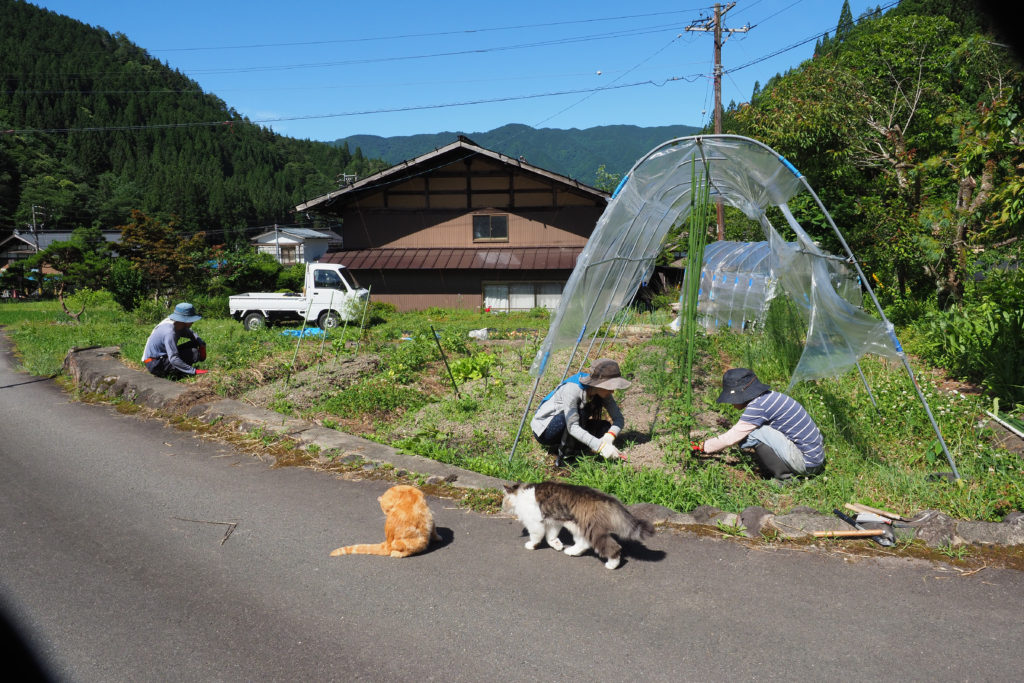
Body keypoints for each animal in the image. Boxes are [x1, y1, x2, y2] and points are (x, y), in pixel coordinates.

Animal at [503, 481, 655, 573]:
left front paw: (531, 545)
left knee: (613, 548)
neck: (521, 494)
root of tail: (606, 498)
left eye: (504, 501)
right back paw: (571, 551)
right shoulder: (553, 522)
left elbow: (536, 537)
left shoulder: (535, 523)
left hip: (593, 530)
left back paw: (612, 564)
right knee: (583, 544)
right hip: (578, 527)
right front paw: (556, 544)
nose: (502, 507)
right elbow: (550, 536)